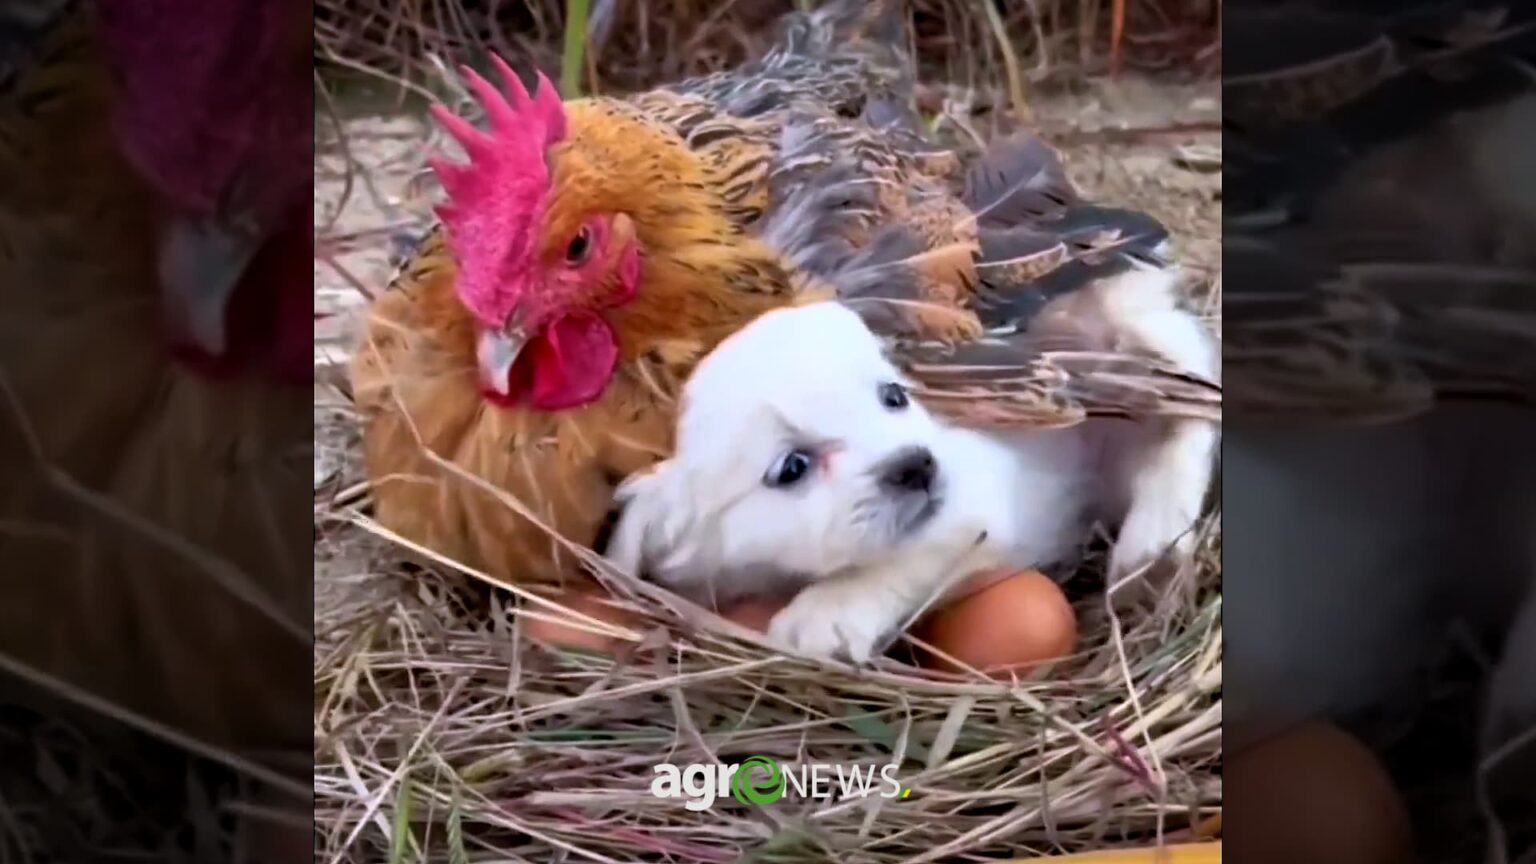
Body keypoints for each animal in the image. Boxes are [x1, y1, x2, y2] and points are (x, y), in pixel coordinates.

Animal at [605, 284, 1216, 657]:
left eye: (894, 397)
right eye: (792, 466)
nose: (917, 465)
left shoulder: (973, 504)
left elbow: (903, 560)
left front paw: (827, 612)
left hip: (1138, 355)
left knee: (1186, 417)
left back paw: (1152, 544)